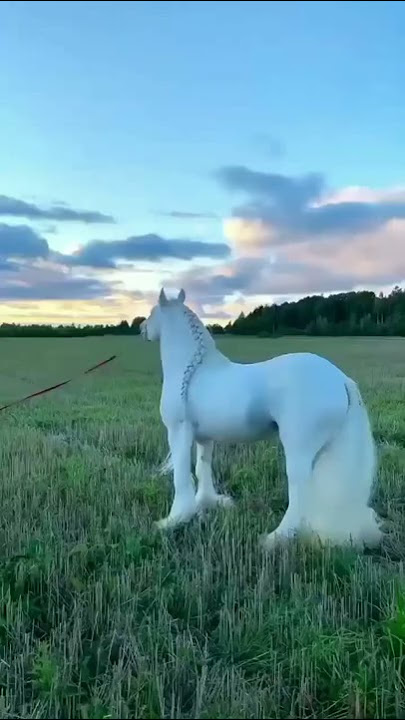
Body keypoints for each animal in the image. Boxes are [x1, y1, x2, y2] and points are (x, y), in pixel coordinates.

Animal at [140, 287, 382, 549]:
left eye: (153, 312)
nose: (142, 329)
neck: (193, 371)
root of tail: (341, 380)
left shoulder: (178, 432)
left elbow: (182, 475)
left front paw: (173, 520)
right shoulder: (205, 439)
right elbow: (202, 467)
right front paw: (207, 503)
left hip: (299, 447)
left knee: (299, 489)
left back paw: (275, 539)